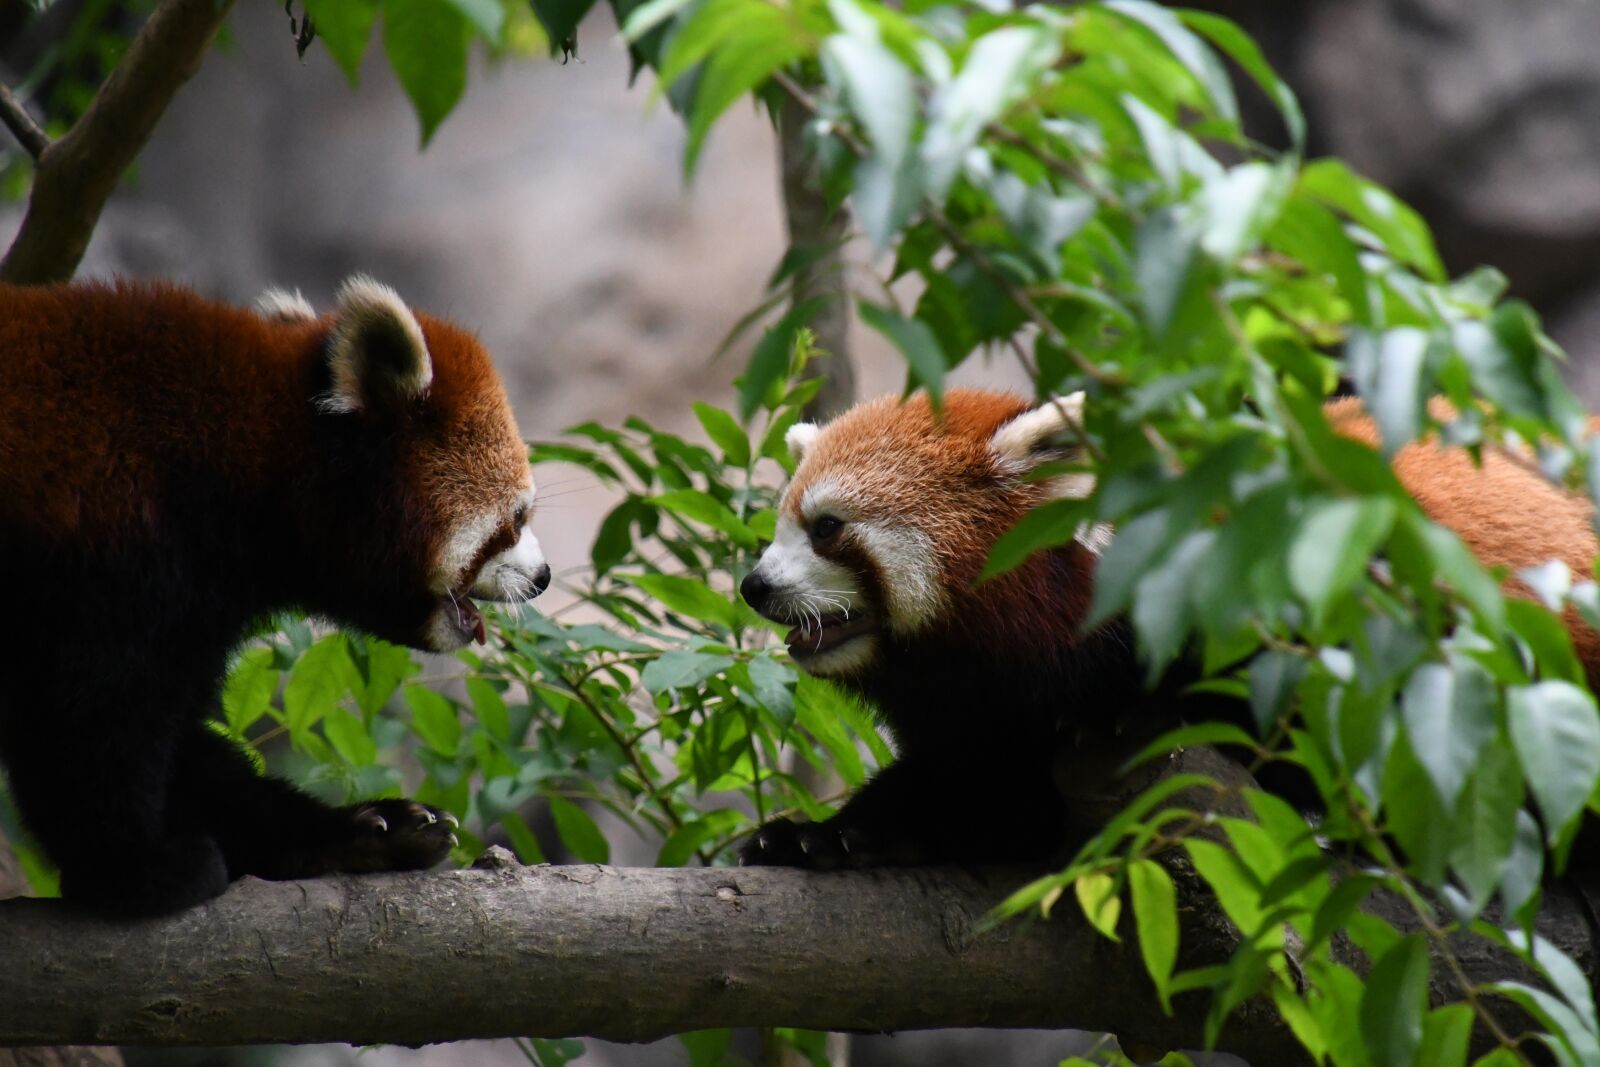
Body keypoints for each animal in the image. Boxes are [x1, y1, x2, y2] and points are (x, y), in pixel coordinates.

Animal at [0, 278, 550, 921]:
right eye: (516, 518)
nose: (543, 577)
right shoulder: (115, 552)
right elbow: (89, 719)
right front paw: (133, 870)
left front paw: (361, 832)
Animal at [736, 388, 1600, 870]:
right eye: (782, 523)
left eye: (827, 528)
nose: (754, 586)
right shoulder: (988, 711)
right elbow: (976, 789)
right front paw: (821, 839)